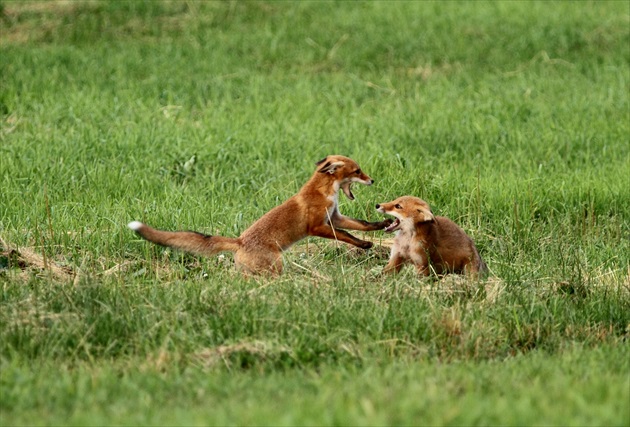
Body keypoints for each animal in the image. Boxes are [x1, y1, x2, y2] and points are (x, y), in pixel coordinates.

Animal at [129, 155, 392, 276]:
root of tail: (239, 241)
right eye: (357, 171)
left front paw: (383, 224)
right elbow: (346, 235)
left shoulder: (334, 216)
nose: (372, 180)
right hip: (275, 266)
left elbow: (362, 225)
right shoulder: (318, 226)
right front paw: (365, 245)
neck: (325, 192)